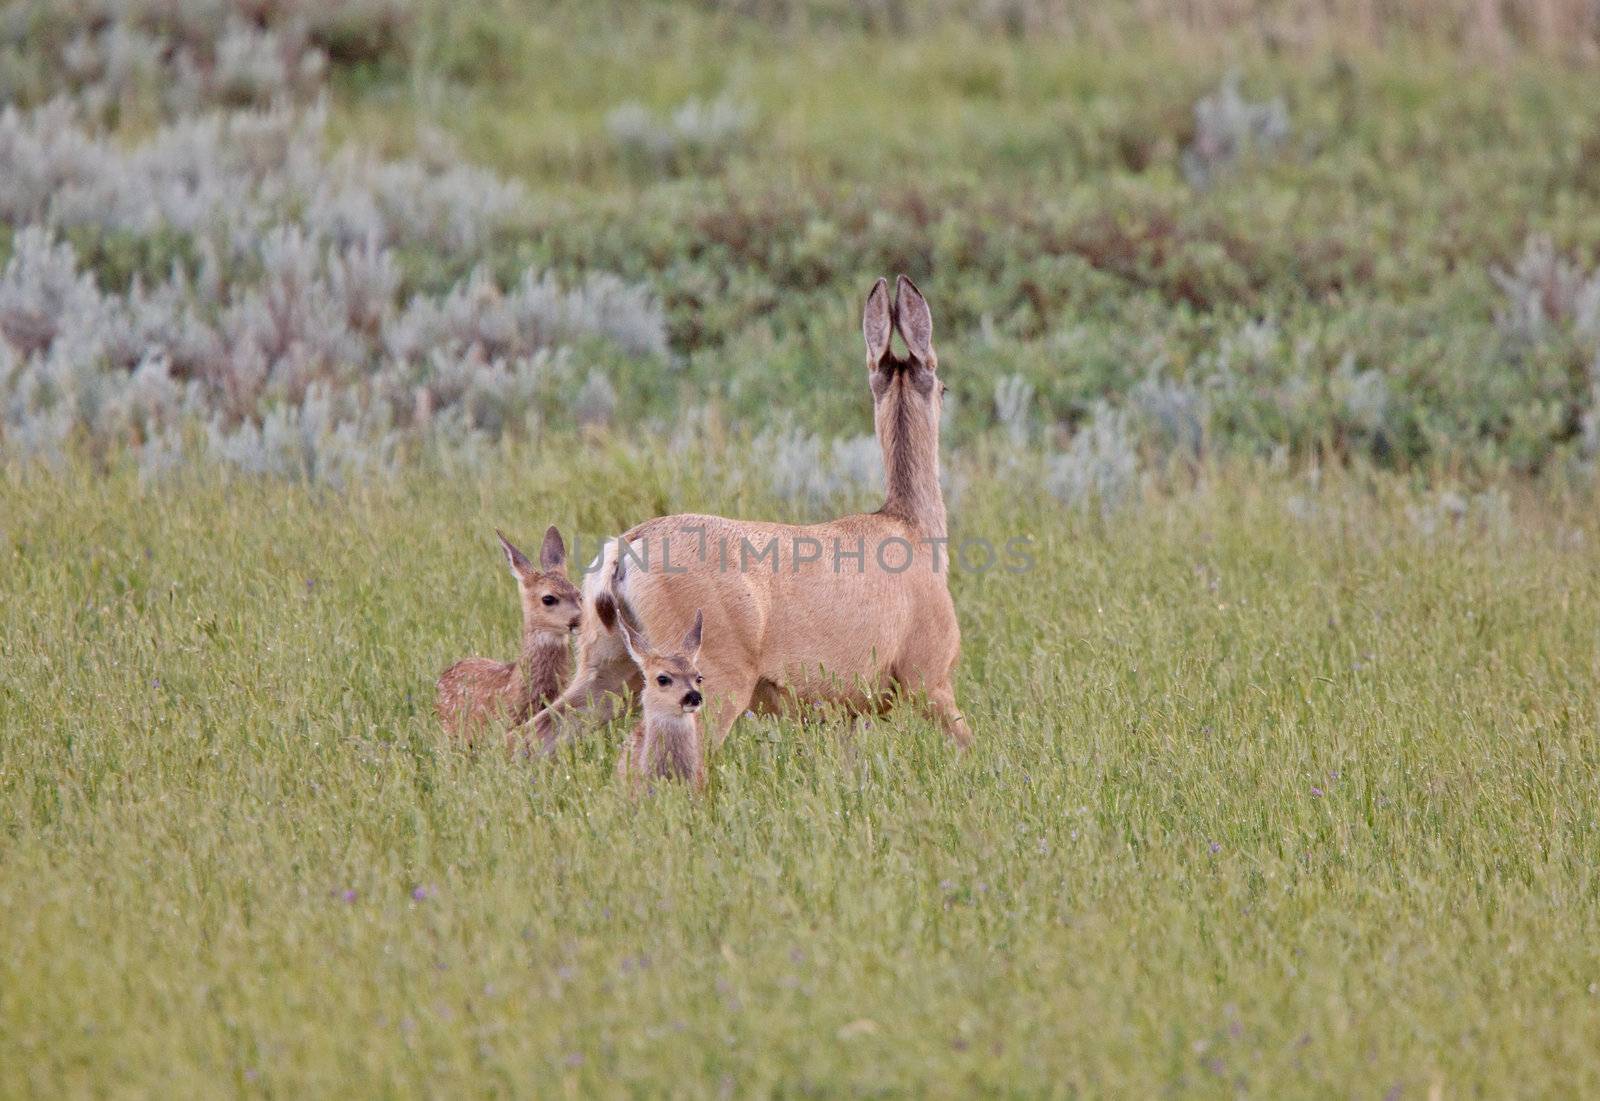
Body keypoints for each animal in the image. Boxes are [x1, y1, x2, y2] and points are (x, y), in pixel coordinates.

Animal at [524, 275, 966, 752]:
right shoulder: (929, 672)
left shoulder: (847, 708)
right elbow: (968, 741)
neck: (914, 529)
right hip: (707, 670)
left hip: (608, 662)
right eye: (945, 387)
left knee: (534, 733)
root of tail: (622, 553)